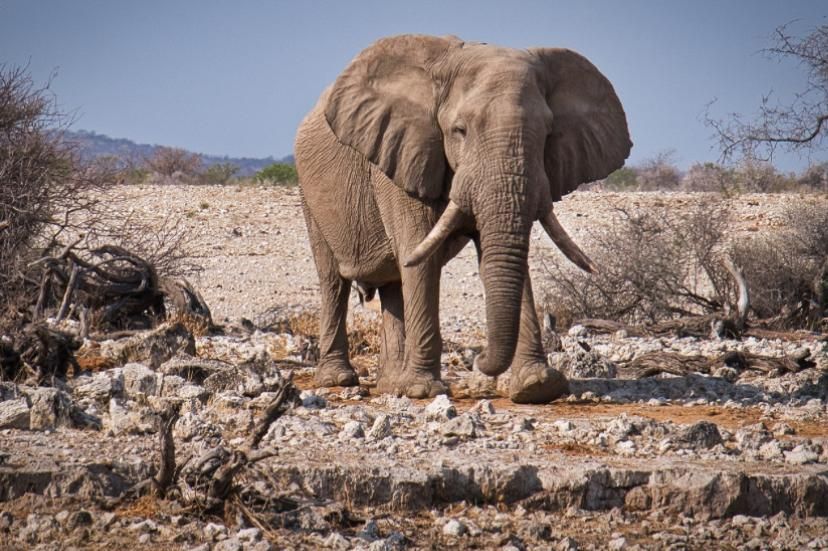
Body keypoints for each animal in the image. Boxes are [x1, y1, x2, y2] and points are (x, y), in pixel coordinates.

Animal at [294, 34, 631, 404]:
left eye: (547, 134)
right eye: (460, 130)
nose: (480, 361)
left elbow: (502, 256)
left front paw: (537, 386)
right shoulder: (403, 156)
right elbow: (419, 256)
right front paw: (423, 390)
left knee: (394, 285)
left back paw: (391, 385)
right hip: (309, 193)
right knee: (333, 281)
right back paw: (340, 380)